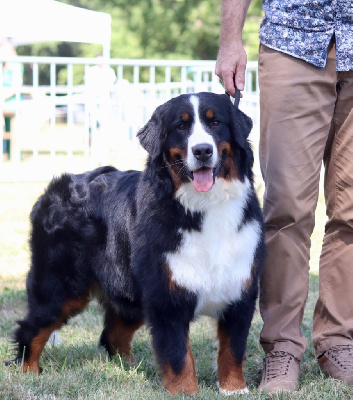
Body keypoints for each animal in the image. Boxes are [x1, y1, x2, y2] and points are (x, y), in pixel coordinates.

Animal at [11, 92, 264, 396]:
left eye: (216, 123)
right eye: (181, 127)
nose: (202, 150)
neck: (203, 207)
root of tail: (53, 189)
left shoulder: (239, 289)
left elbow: (233, 348)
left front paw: (234, 389)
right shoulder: (166, 297)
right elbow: (178, 354)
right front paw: (185, 392)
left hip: (129, 288)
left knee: (113, 334)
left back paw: (132, 369)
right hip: (60, 286)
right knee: (31, 329)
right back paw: (28, 372)